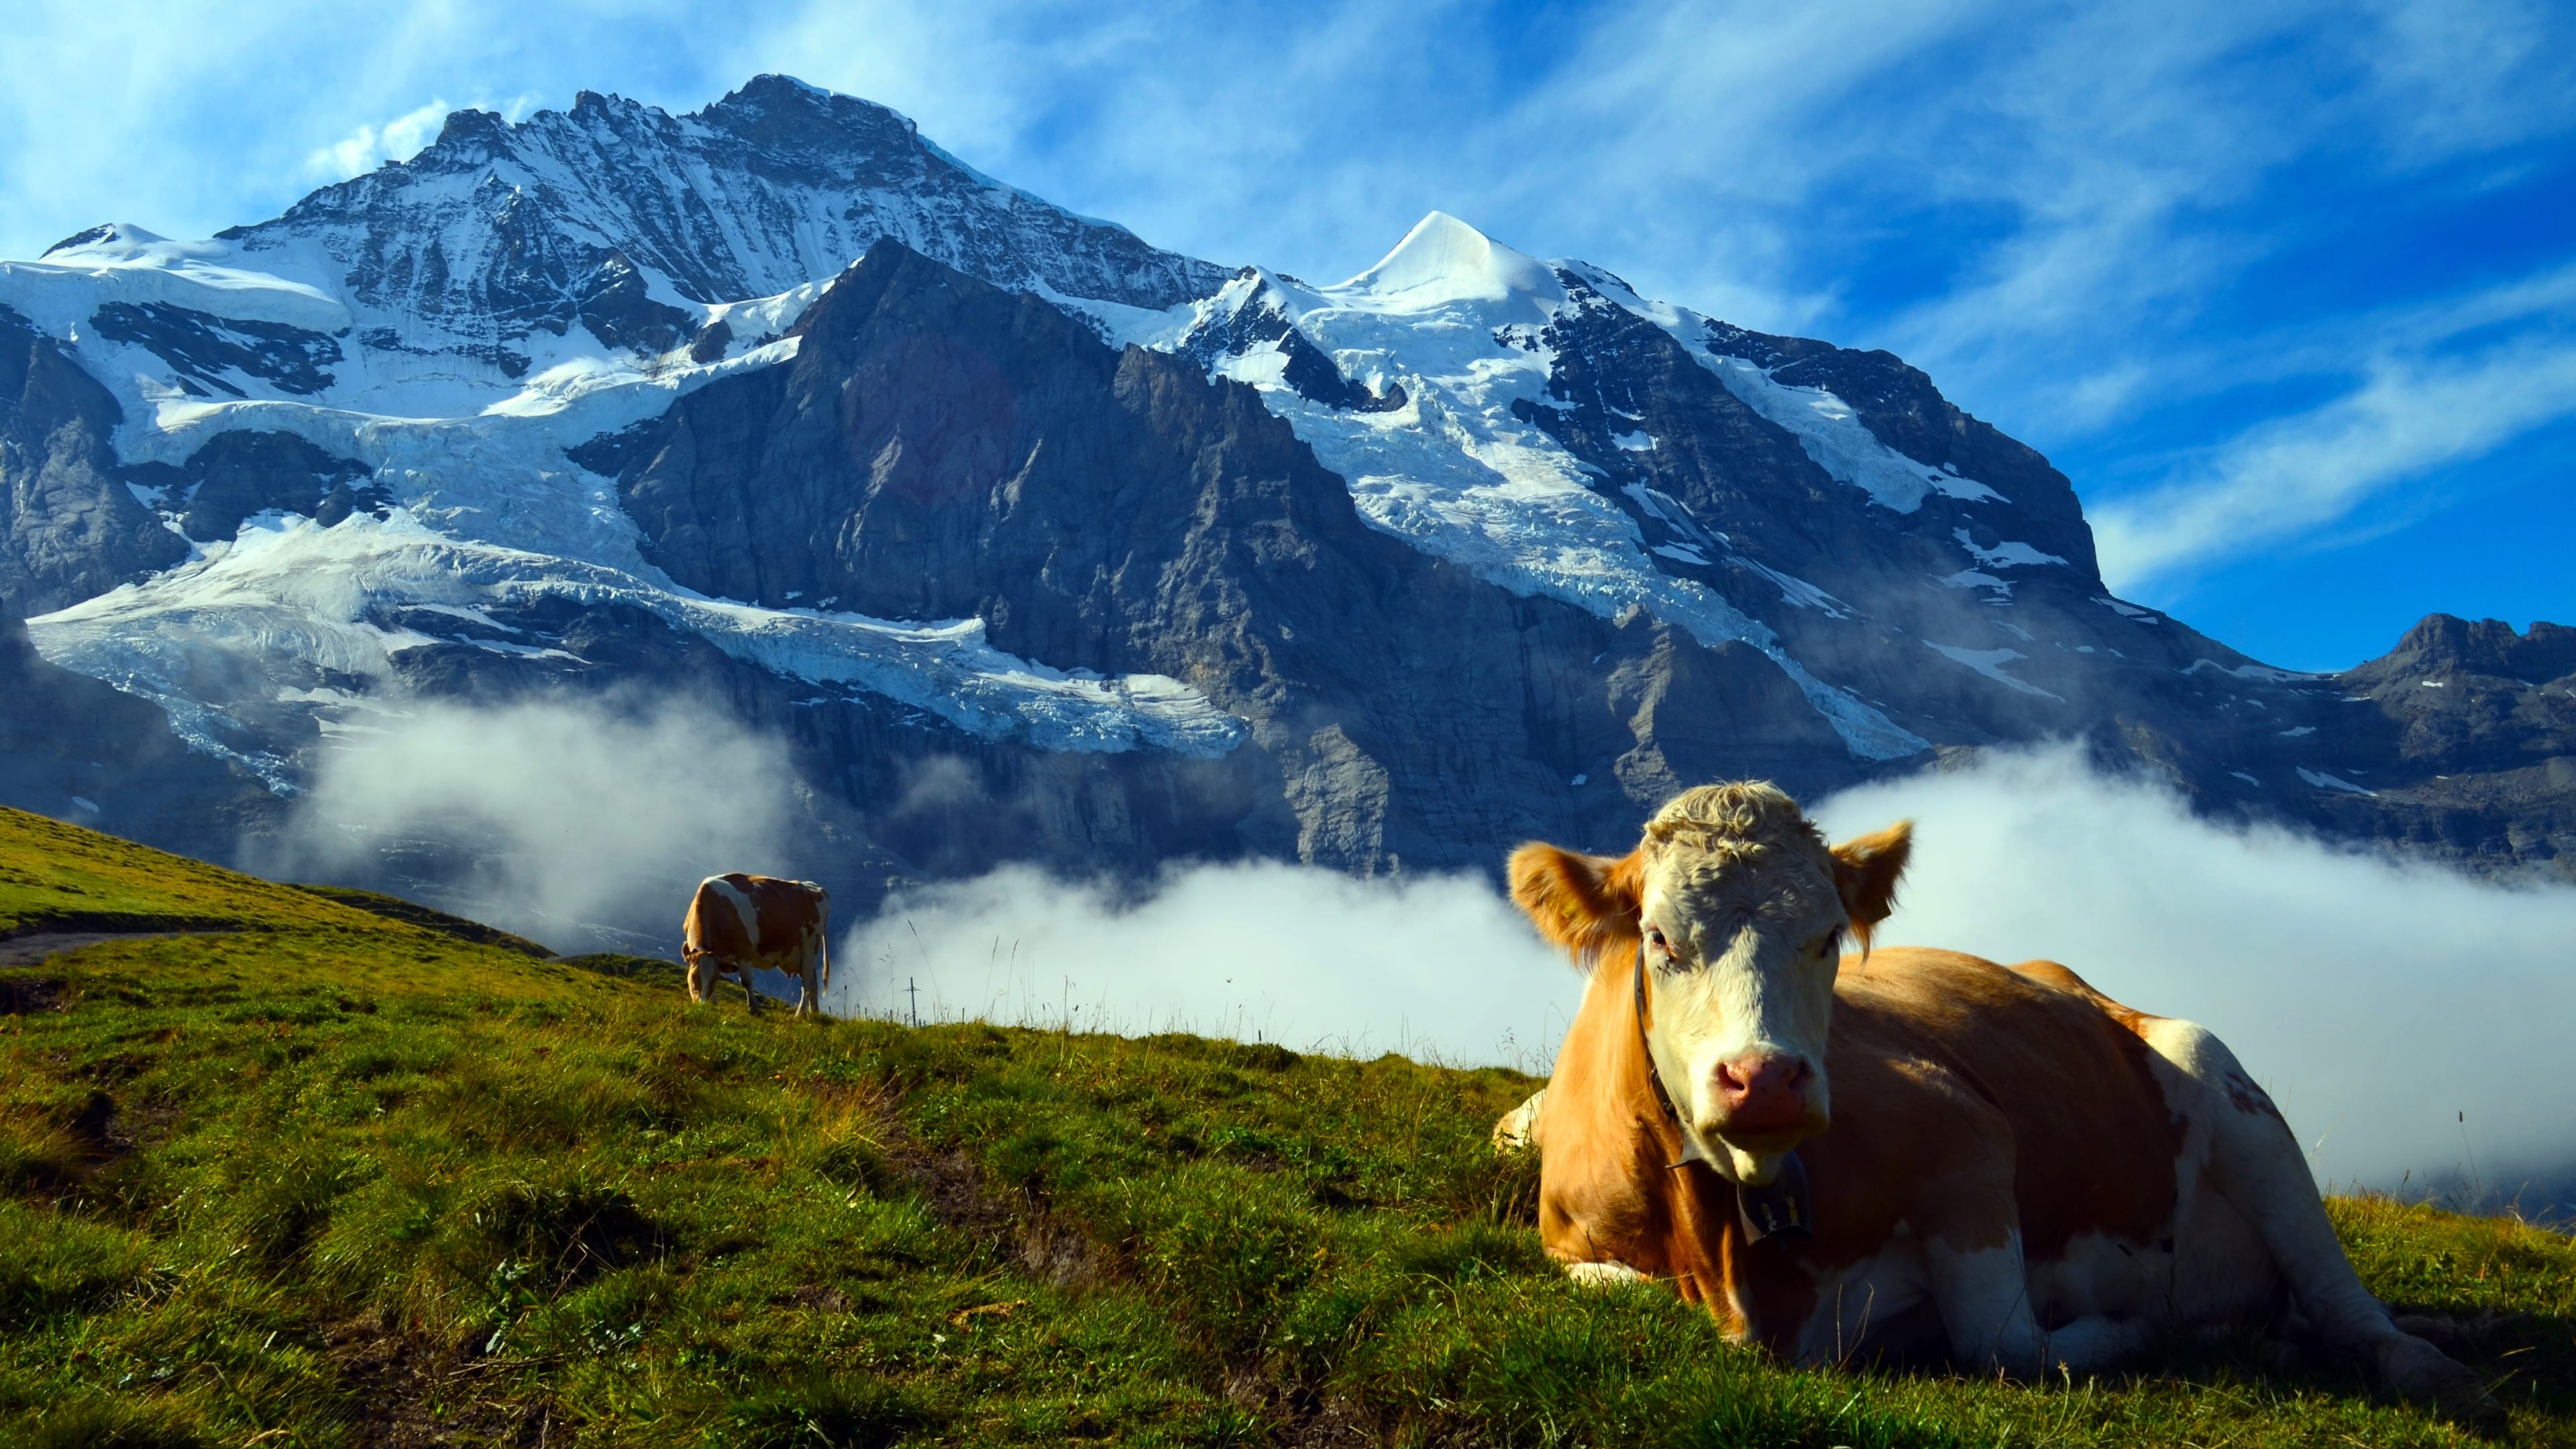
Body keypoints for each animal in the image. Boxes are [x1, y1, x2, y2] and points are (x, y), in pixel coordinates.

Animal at [685, 866, 835, 1016]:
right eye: (693, 977)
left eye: (712, 979)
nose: (702, 1005)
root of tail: (815, 887)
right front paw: (714, 1005)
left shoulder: (743, 948)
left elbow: (746, 981)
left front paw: (754, 1008)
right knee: (813, 982)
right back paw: (813, 1012)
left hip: (810, 944)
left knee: (807, 982)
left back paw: (799, 1013)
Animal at [1504, 778, 2483, 1413]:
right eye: (1659, 938)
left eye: (1827, 937)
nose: (1767, 1079)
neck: (1733, 1264)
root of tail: (2070, 979)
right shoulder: (1568, 1245)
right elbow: (1618, 1287)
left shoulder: (1966, 1133)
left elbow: (2004, 1346)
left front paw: (2125, 1335)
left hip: (2230, 1088)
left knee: (2344, 1299)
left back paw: (2428, 1369)